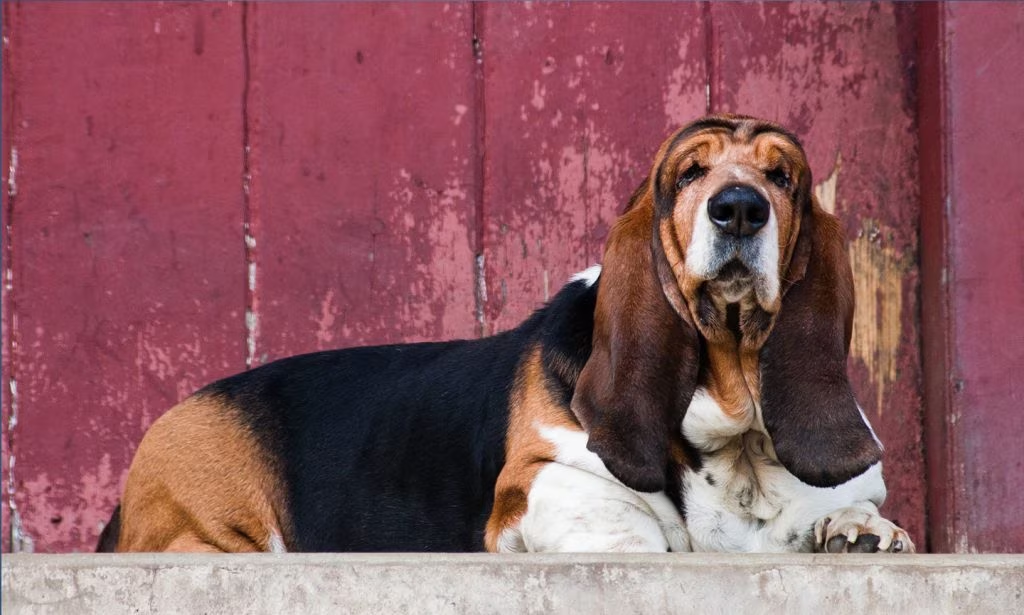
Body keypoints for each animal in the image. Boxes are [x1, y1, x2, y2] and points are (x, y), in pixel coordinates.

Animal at [96, 114, 913, 552]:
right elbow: (628, 524)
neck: (735, 428)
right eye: (689, 174)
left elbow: (843, 510)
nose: (739, 207)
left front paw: (857, 529)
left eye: (784, 178)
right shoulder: (537, 482)